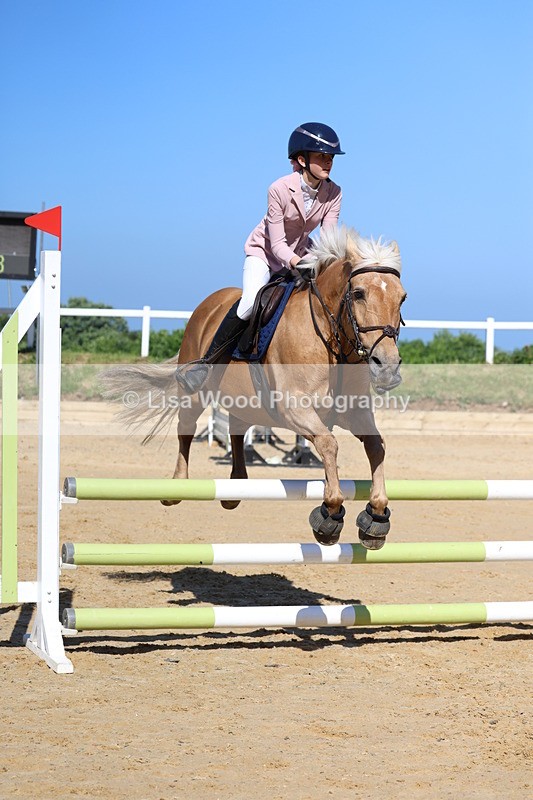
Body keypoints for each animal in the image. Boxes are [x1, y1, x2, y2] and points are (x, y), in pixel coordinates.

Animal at [105, 225, 406, 549]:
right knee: (185, 429)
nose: (387, 367)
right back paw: (177, 488)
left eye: (402, 298)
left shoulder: (353, 413)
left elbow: (375, 446)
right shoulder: (293, 408)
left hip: (243, 402)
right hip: (194, 393)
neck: (329, 337)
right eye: (358, 293)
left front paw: (376, 515)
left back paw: (235, 488)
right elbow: (329, 444)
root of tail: (210, 303)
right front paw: (330, 514)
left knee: (236, 430)